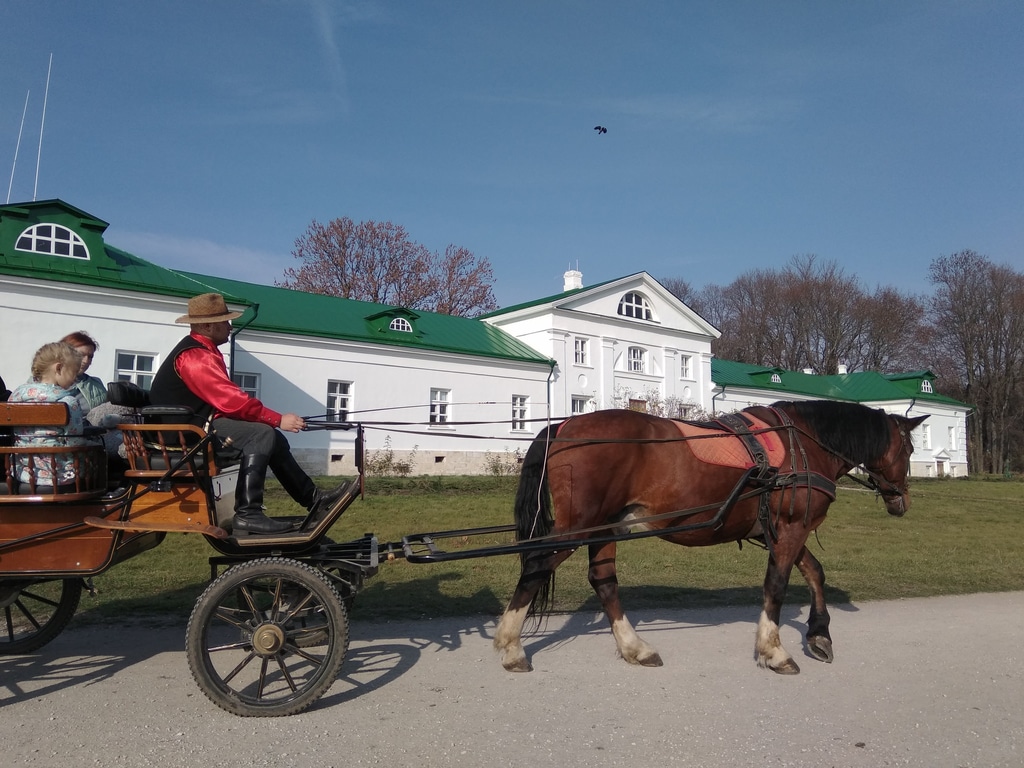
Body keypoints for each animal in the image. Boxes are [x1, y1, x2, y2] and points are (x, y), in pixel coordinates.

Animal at [493, 399, 929, 675]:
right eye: (908, 449)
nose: (902, 499)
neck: (802, 442)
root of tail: (564, 425)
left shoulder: (782, 529)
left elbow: (815, 573)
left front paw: (819, 633)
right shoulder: (790, 527)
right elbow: (777, 585)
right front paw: (774, 650)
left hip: (605, 527)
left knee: (603, 581)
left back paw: (635, 647)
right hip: (579, 527)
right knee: (536, 565)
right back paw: (511, 645)